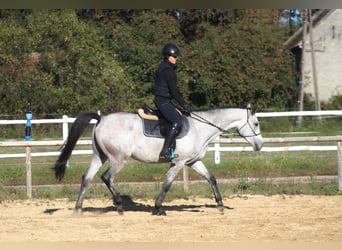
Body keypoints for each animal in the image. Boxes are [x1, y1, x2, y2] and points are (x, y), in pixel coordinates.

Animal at [53, 105, 264, 215]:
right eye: (255, 123)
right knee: (107, 178)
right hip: (118, 159)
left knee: (86, 178)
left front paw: (220, 204)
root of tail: (101, 119)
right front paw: (158, 207)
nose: (260, 145)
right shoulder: (179, 162)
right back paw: (119, 204)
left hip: (100, 157)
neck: (200, 128)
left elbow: (211, 178)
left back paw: (78, 208)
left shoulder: (193, 162)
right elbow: (167, 184)